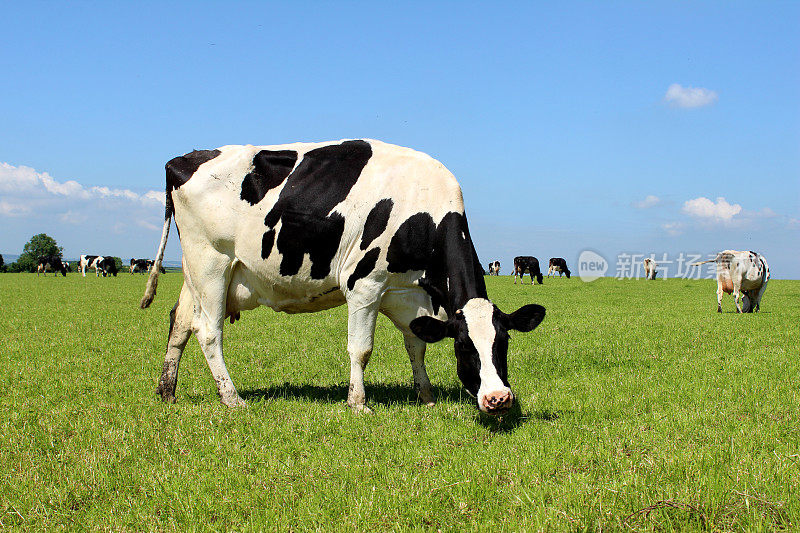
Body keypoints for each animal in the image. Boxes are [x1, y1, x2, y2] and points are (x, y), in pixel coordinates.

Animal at [141, 139, 548, 414]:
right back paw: (232, 398)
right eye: (465, 347)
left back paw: (167, 391)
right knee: (208, 331)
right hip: (211, 262)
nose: (498, 398)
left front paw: (426, 396)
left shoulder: (407, 295)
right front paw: (358, 403)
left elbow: (416, 345)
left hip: (197, 272)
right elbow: (361, 349)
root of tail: (184, 159)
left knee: (179, 322)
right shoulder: (365, 285)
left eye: (503, 344)